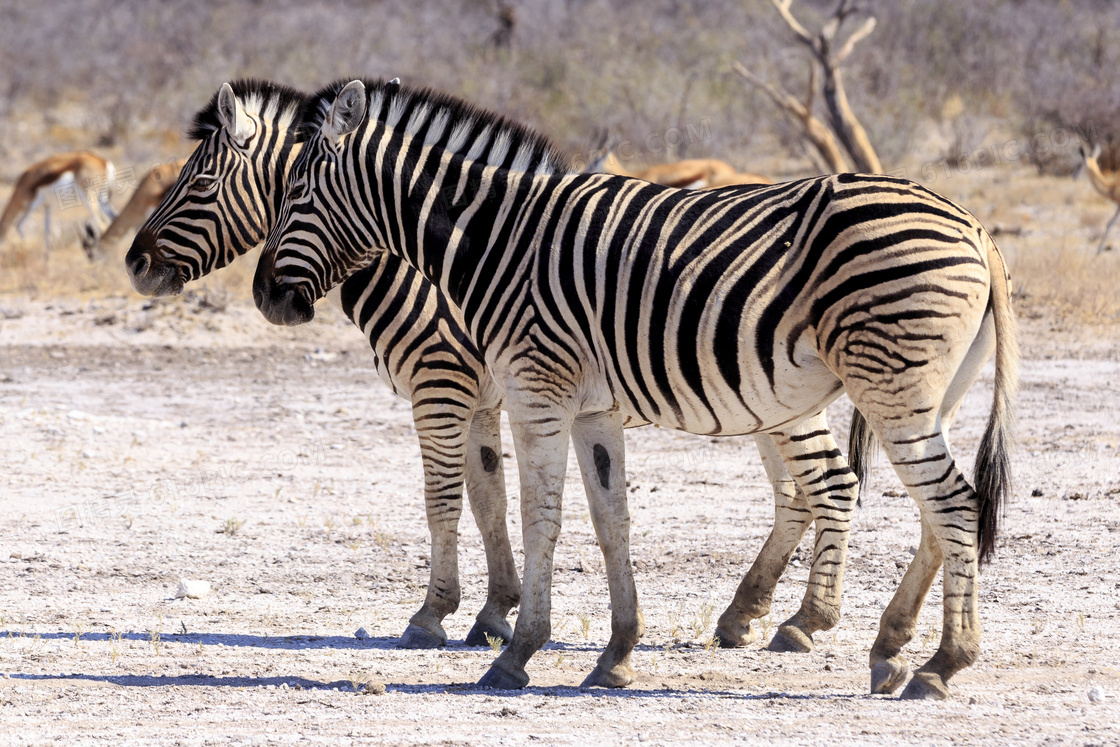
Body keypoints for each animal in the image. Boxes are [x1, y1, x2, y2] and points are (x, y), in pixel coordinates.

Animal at [127, 78, 869, 658]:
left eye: (198, 183)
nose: (133, 264)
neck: (423, 257)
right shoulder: (481, 398)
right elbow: (489, 499)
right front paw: (493, 611)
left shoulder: (440, 386)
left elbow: (443, 500)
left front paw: (433, 614)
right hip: (764, 401)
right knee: (796, 494)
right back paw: (745, 613)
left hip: (782, 400)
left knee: (830, 483)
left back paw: (804, 622)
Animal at [252, 77, 1016, 703]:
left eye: (295, 196)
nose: (266, 298)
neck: (496, 243)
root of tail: (975, 224)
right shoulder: (593, 411)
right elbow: (610, 521)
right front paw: (615, 654)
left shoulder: (534, 392)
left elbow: (539, 518)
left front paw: (515, 652)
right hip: (926, 392)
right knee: (935, 510)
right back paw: (889, 649)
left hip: (889, 384)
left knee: (950, 502)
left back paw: (940, 663)